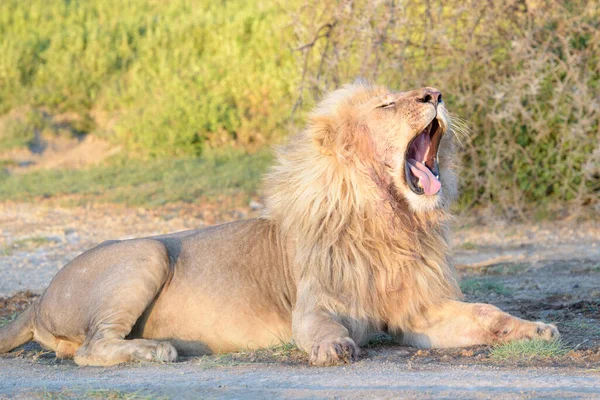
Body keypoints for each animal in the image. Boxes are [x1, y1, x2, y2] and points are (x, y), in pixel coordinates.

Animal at [0, 83, 556, 368]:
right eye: (386, 104)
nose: (435, 93)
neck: (389, 222)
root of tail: (38, 299)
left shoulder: (417, 312)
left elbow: (485, 313)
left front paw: (535, 329)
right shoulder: (314, 304)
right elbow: (321, 327)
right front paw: (335, 348)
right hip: (146, 253)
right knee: (89, 350)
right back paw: (158, 349)